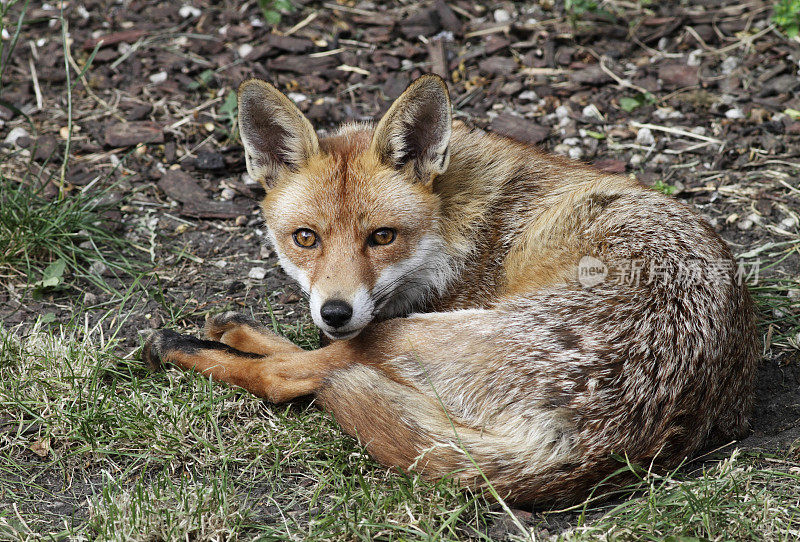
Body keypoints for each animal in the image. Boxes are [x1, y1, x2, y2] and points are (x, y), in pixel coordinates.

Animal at [141, 74, 760, 504]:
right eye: (305, 238)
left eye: (382, 237)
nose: (335, 310)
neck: (461, 220)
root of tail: (609, 439)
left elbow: (300, 367)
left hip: (404, 336)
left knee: (296, 375)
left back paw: (189, 347)